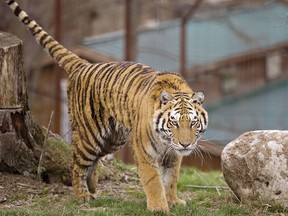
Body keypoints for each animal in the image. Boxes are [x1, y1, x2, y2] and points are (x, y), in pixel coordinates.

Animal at [3, 0, 208, 213]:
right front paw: (159, 207)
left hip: (113, 138)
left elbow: (171, 179)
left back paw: (92, 188)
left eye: (193, 123)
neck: (167, 141)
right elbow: (153, 180)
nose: (185, 144)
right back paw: (83, 195)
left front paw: (174, 201)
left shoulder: (173, 155)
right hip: (89, 135)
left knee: (93, 162)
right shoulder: (144, 151)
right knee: (76, 162)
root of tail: (83, 64)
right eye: (173, 123)